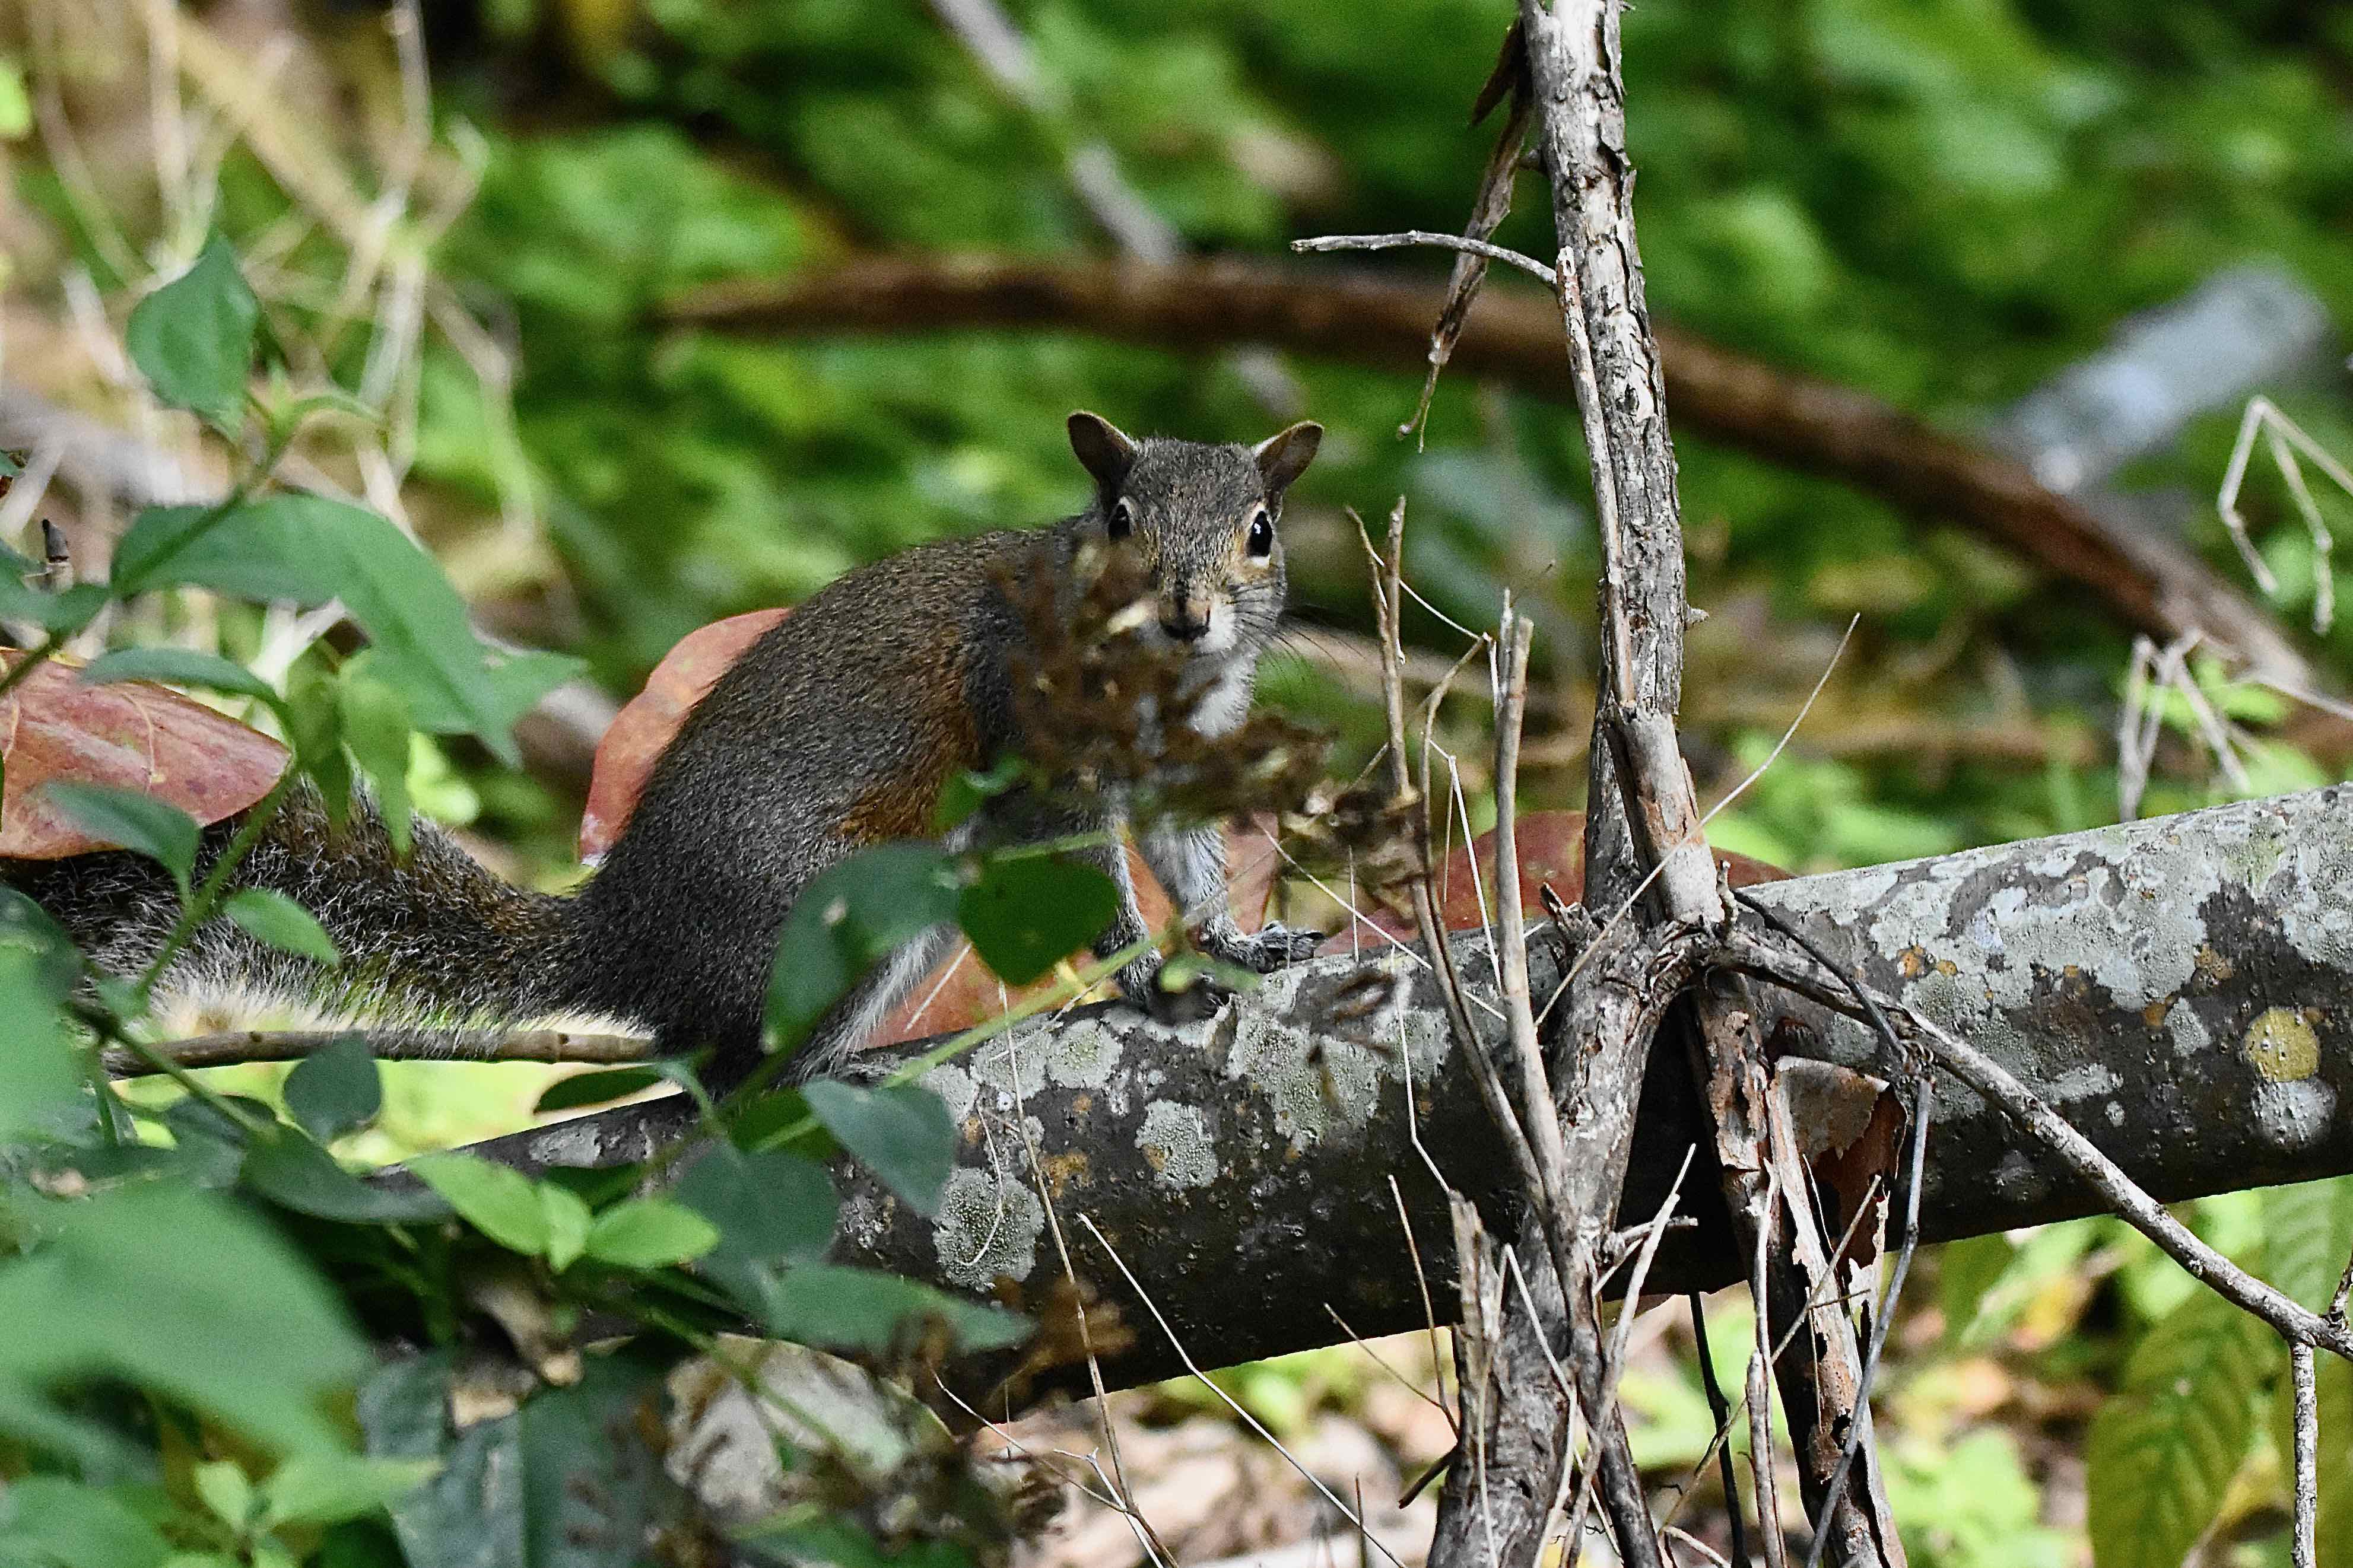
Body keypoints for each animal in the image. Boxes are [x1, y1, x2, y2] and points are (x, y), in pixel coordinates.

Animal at [6, 413, 1327, 1085]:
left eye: (1262, 531)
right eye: (1117, 519)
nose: (1186, 611)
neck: (1157, 682)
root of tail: (626, 938)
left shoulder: (1176, 761)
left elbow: (1190, 857)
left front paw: (1233, 940)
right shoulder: (1033, 736)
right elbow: (1082, 864)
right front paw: (1144, 967)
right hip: (828, 910)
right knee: (730, 1057)